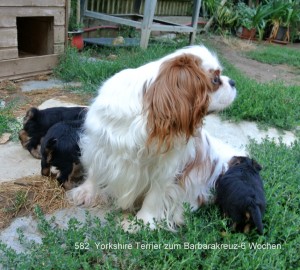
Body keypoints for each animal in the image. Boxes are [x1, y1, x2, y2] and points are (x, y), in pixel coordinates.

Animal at [67, 45, 245, 231]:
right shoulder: (101, 142)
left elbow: (154, 197)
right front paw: (86, 191)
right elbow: (95, 168)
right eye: (216, 79)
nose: (233, 82)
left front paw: (142, 221)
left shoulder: (166, 169)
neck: (149, 115)